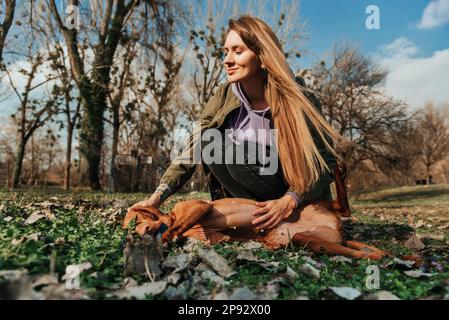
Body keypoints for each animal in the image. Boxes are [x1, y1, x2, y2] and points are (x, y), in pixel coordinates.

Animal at [121, 165, 384, 260]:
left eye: (137, 218)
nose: (138, 234)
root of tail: (338, 231)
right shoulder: (214, 238)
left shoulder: (200, 207)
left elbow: (174, 228)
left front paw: (164, 239)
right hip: (308, 239)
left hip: (311, 205)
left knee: (345, 208)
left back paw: (339, 168)